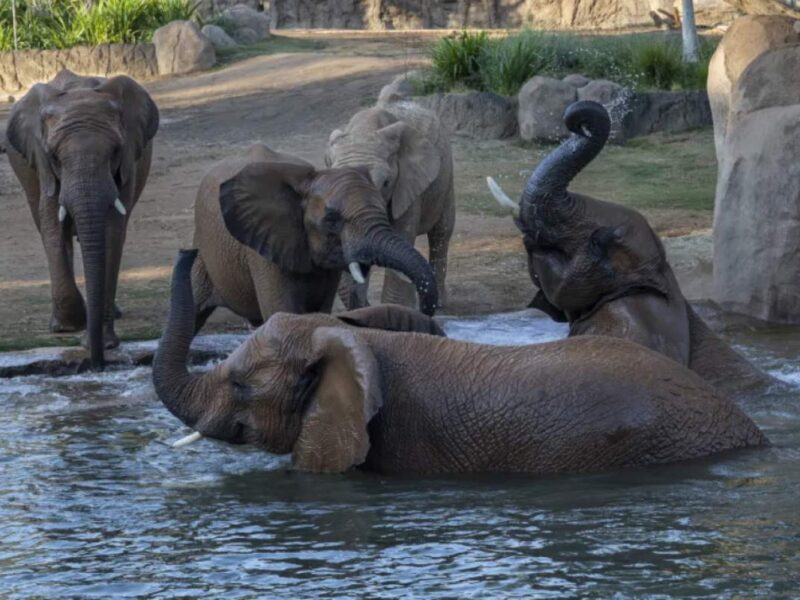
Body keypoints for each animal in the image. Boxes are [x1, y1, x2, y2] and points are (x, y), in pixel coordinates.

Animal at [4, 69, 158, 369]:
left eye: (115, 151)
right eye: (53, 156)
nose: (96, 363)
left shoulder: (127, 164)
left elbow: (112, 231)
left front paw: (103, 342)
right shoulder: (42, 164)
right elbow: (52, 223)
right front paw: (71, 324)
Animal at [325, 99, 455, 310]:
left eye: (386, 183)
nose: (366, 304)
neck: (365, 130)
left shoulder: (408, 184)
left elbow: (403, 235)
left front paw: (395, 310)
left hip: (447, 177)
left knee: (441, 232)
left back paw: (440, 305)